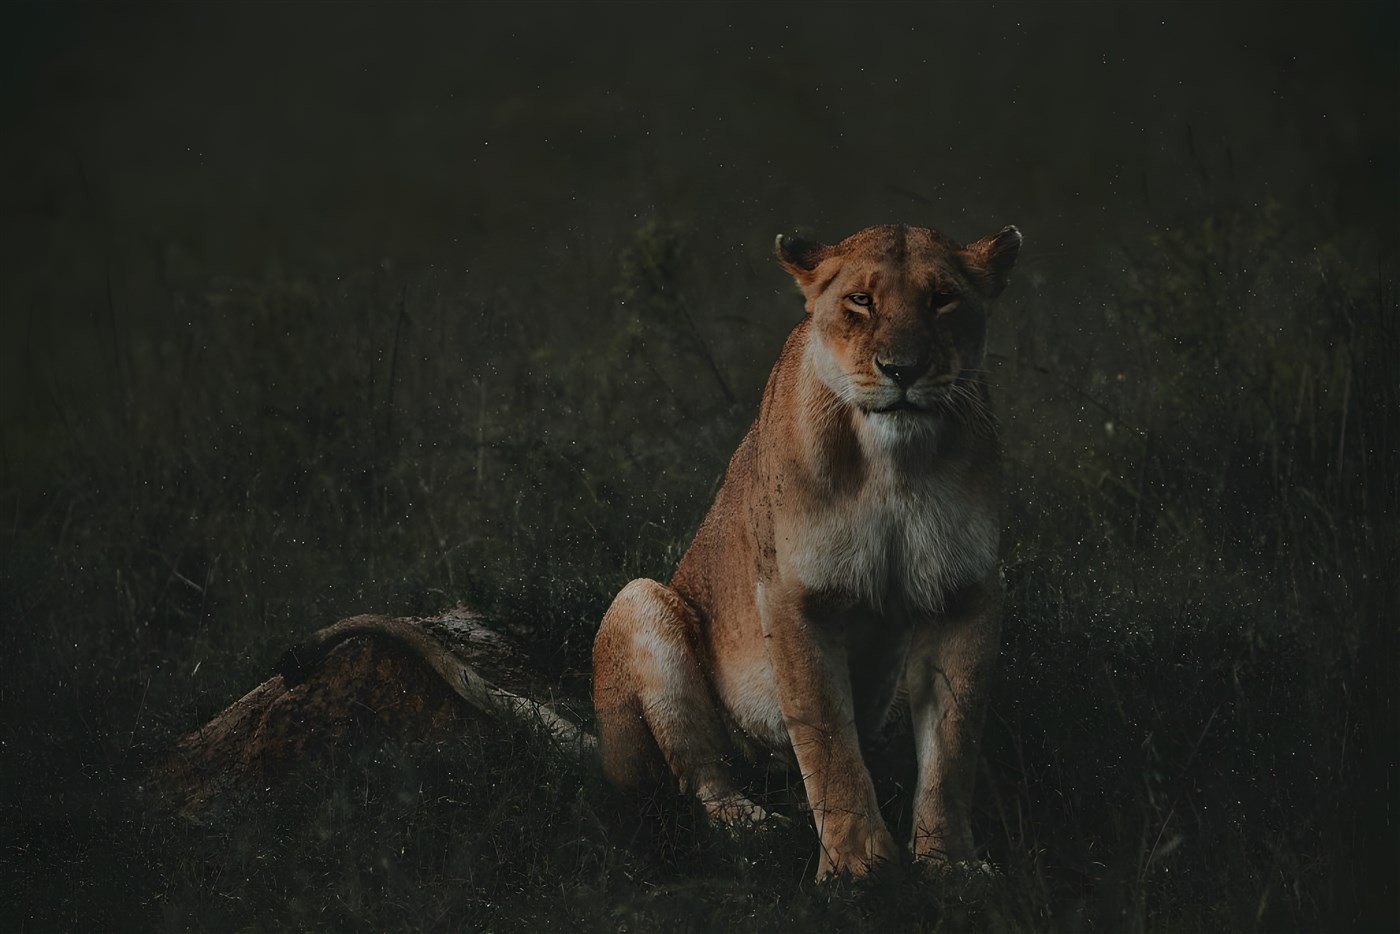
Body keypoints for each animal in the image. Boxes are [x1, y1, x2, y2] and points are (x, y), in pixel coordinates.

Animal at [592, 222, 1021, 881]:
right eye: (861, 301)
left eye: (942, 300)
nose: (903, 369)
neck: (892, 466)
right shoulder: (795, 599)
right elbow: (827, 737)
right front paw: (856, 869)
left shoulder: (965, 594)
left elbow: (952, 747)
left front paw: (949, 866)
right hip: (640, 606)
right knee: (699, 775)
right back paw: (752, 825)